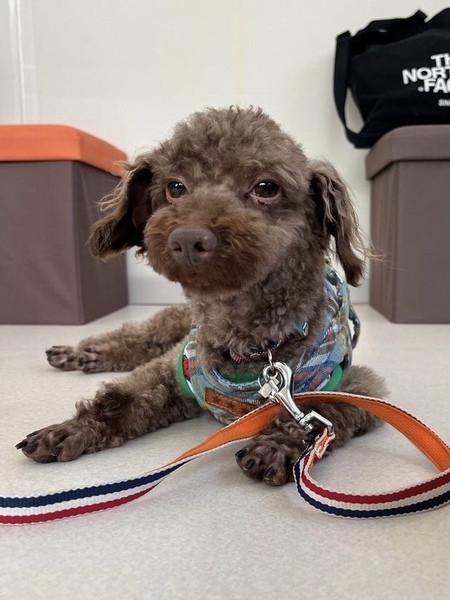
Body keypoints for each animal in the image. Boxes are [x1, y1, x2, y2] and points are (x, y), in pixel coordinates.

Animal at [16, 107, 387, 485]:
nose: (188, 238)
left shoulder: (360, 388)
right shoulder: (173, 371)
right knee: (135, 337)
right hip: (169, 327)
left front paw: (277, 444)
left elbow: (319, 415)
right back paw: (80, 352)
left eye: (266, 187)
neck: (249, 346)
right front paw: (71, 430)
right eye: (175, 187)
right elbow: (121, 398)